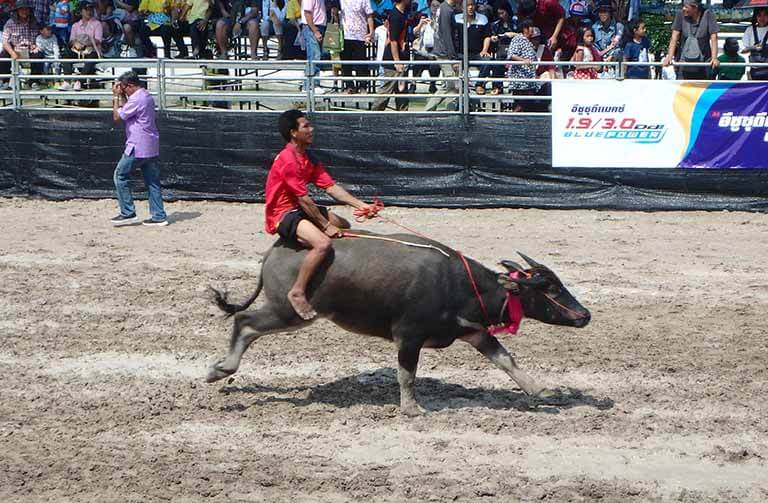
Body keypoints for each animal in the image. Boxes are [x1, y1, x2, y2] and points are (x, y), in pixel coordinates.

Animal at [207, 232, 592, 418]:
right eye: (551, 288)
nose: (585, 315)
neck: (457, 284)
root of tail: (275, 251)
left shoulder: (475, 333)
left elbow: (507, 361)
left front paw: (541, 391)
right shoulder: (408, 336)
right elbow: (407, 374)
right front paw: (411, 408)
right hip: (289, 312)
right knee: (245, 321)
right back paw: (220, 369)